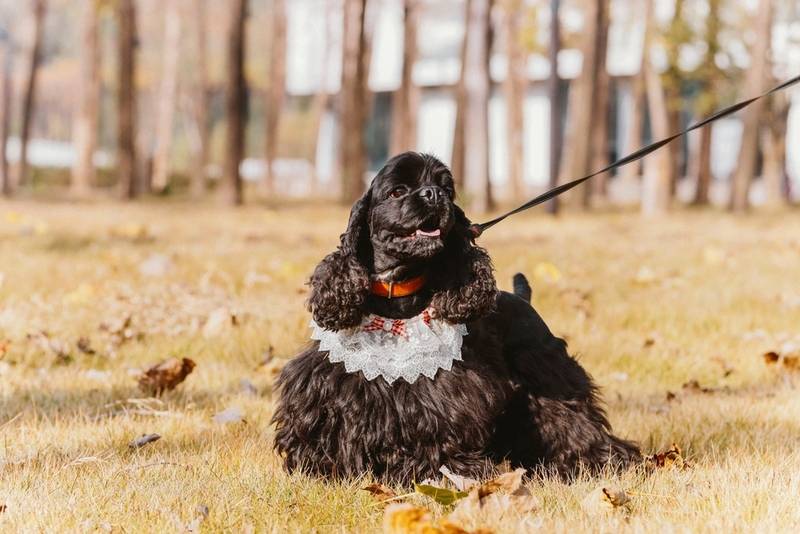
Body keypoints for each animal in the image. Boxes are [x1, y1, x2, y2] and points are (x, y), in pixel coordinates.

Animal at [272, 152, 640, 486]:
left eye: (446, 188)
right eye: (397, 190)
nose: (433, 195)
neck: (396, 288)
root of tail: (522, 297)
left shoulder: (444, 396)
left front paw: (442, 474)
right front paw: (323, 469)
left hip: (550, 376)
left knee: (573, 423)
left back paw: (594, 465)